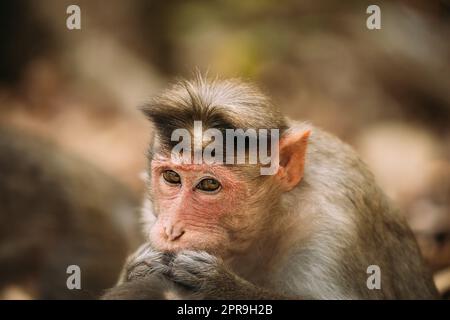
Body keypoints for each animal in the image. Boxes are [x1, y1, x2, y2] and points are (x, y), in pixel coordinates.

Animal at [103, 75, 440, 300]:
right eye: (172, 177)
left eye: (209, 184)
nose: (172, 230)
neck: (275, 217)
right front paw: (137, 267)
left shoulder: (335, 226)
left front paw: (221, 285)